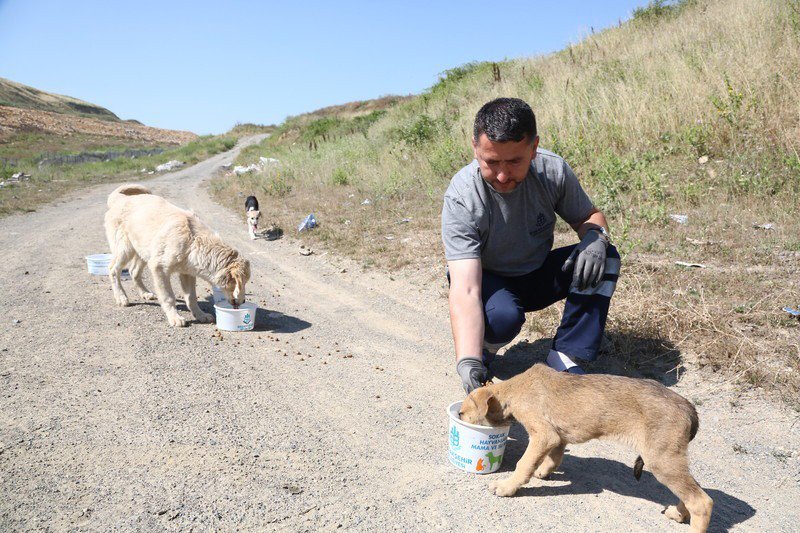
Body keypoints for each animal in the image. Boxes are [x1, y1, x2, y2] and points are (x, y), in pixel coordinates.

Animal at [104, 183, 250, 326]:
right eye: (241, 283)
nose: (243, 302)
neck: (193, 241)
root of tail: (120, 199)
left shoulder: (187, 273)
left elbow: (191, 297)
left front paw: (200, 315)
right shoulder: (159, 269)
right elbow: (168, 297)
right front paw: (174, 318)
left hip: (144, 251)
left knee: (133, 271)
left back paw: (145, 293)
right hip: (125, 250)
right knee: (113, 269)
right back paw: (121, 297)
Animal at [460, 364, 716, 532]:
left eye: (462, 412)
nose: (459, 416)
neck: (515, 389)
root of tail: (689, 408)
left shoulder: (543, 435)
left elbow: (524, 464)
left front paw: (506, 487)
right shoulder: (558, 437)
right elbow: (554, 457)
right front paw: (543, 471)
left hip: (661, 460)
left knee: (702, 501)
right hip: (671, 459)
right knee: (693, 490)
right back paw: (678, 513)